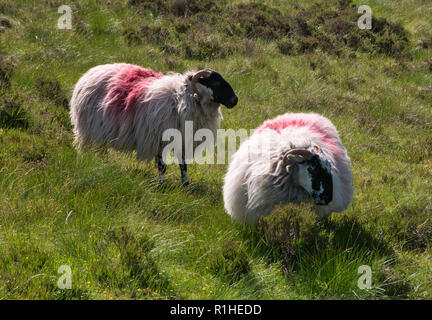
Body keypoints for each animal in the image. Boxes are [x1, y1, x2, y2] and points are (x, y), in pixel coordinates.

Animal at [71, 62, 240, 185]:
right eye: (216, 82)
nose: (235, 100)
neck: (184, 99)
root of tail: (91, 72)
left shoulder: (182, 140)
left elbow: (183, 165)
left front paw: (186, 185)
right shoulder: (159, 139)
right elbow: (162, 166)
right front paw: (161, 185)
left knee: (102, 151)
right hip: (89, 130)